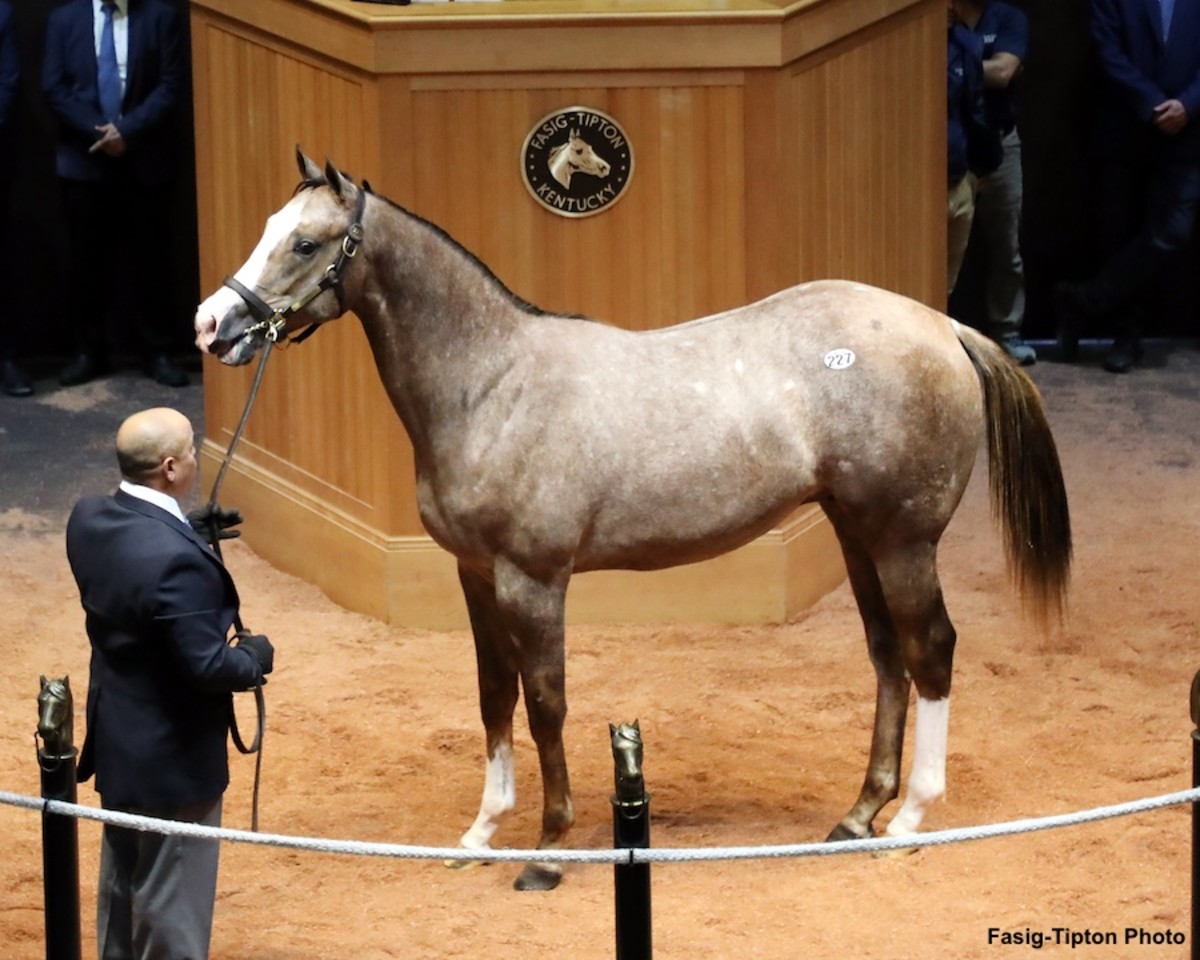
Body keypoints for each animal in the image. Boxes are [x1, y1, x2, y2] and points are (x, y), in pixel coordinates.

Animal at [192, 150, 1075, 892]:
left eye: (306, 242)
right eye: (270, 228)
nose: (211, 325)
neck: (492, 383)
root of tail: (945, 326)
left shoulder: (534, 580)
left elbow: (546, 703)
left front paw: (547, 851)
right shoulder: (474, 575)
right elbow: (494, 695)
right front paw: (480, 832)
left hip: (903, 540)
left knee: (932, 651)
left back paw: (912, 819)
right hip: (859, 533)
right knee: (889, 656)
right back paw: (859, 816)